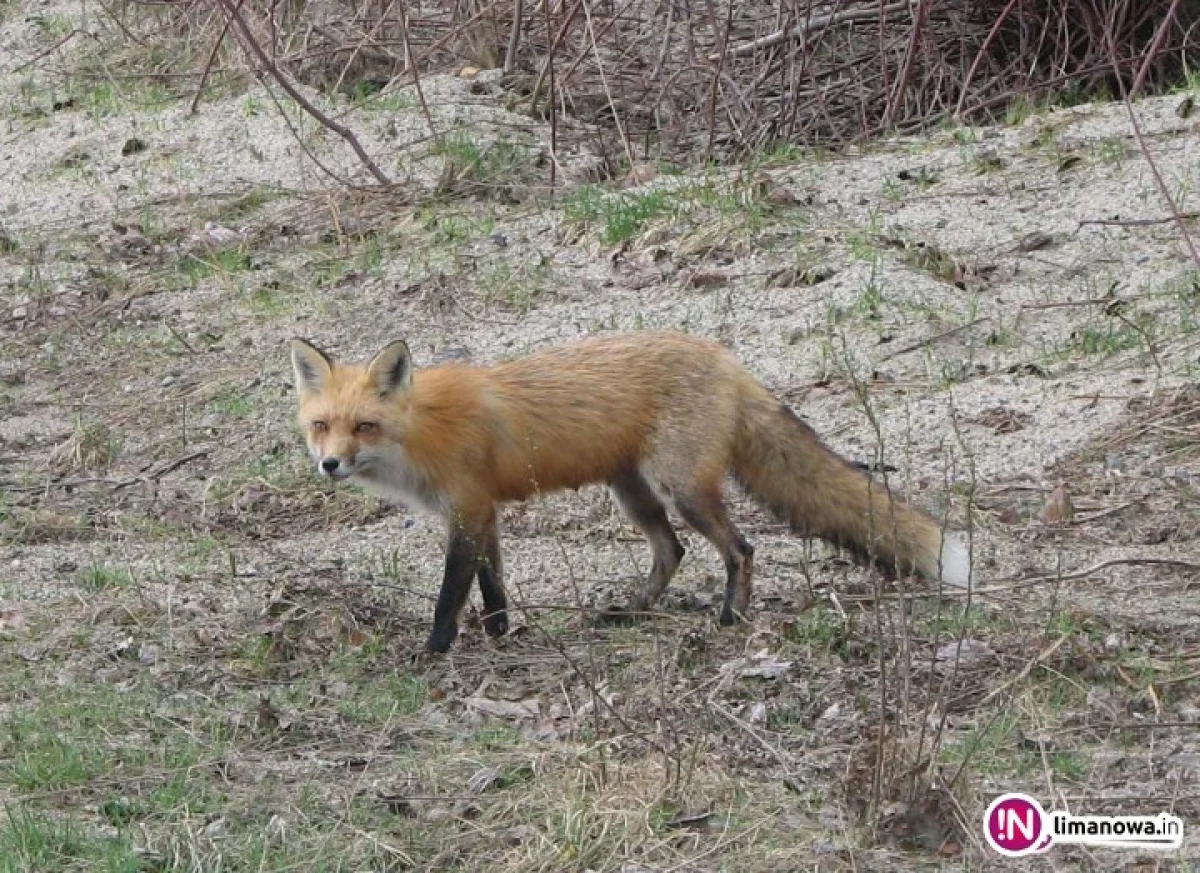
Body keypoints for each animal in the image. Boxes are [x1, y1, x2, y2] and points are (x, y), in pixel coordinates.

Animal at [292, 330, 974, 652]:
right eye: (322, 425)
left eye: (364, 426)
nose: (330, 465)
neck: (422, 432)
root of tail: (725, 357)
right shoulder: (482, 513)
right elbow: (494, 589)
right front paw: (501, 636)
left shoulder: (467, 511)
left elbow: (448, 597)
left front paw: (433, 652)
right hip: (633, 493)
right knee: (671, 552)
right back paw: (633, 612)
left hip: (682, 489)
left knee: (740, 549)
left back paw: (730, 616)